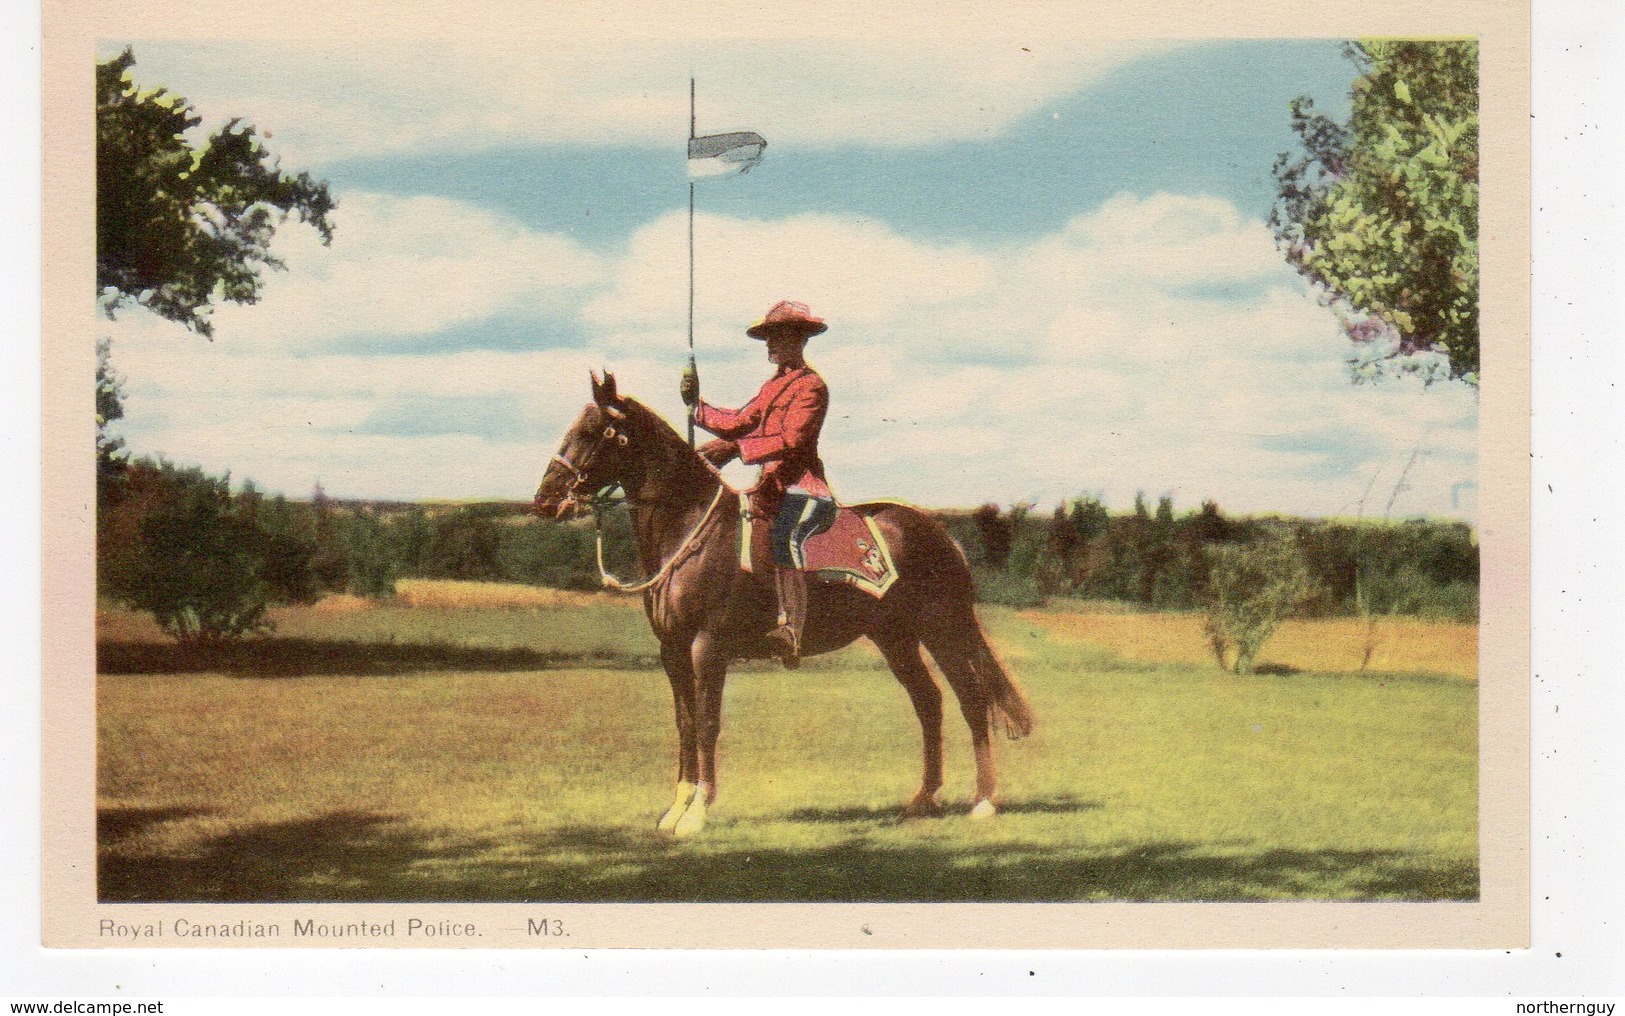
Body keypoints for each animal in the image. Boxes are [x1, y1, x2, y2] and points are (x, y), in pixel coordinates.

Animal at [539, 370, 1033, 832]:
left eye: (592, 431)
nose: (545, 500)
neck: (690, 531)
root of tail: (941, 533)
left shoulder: (707, 647)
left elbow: (708, 722)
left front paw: (697, 812)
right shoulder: (673, 651)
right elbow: (685, 724)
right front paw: (675, 809)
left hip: (942, 628)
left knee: (972, 699)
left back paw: (983, 801)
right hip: (896, 638)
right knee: (929, 702)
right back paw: (923, 800)